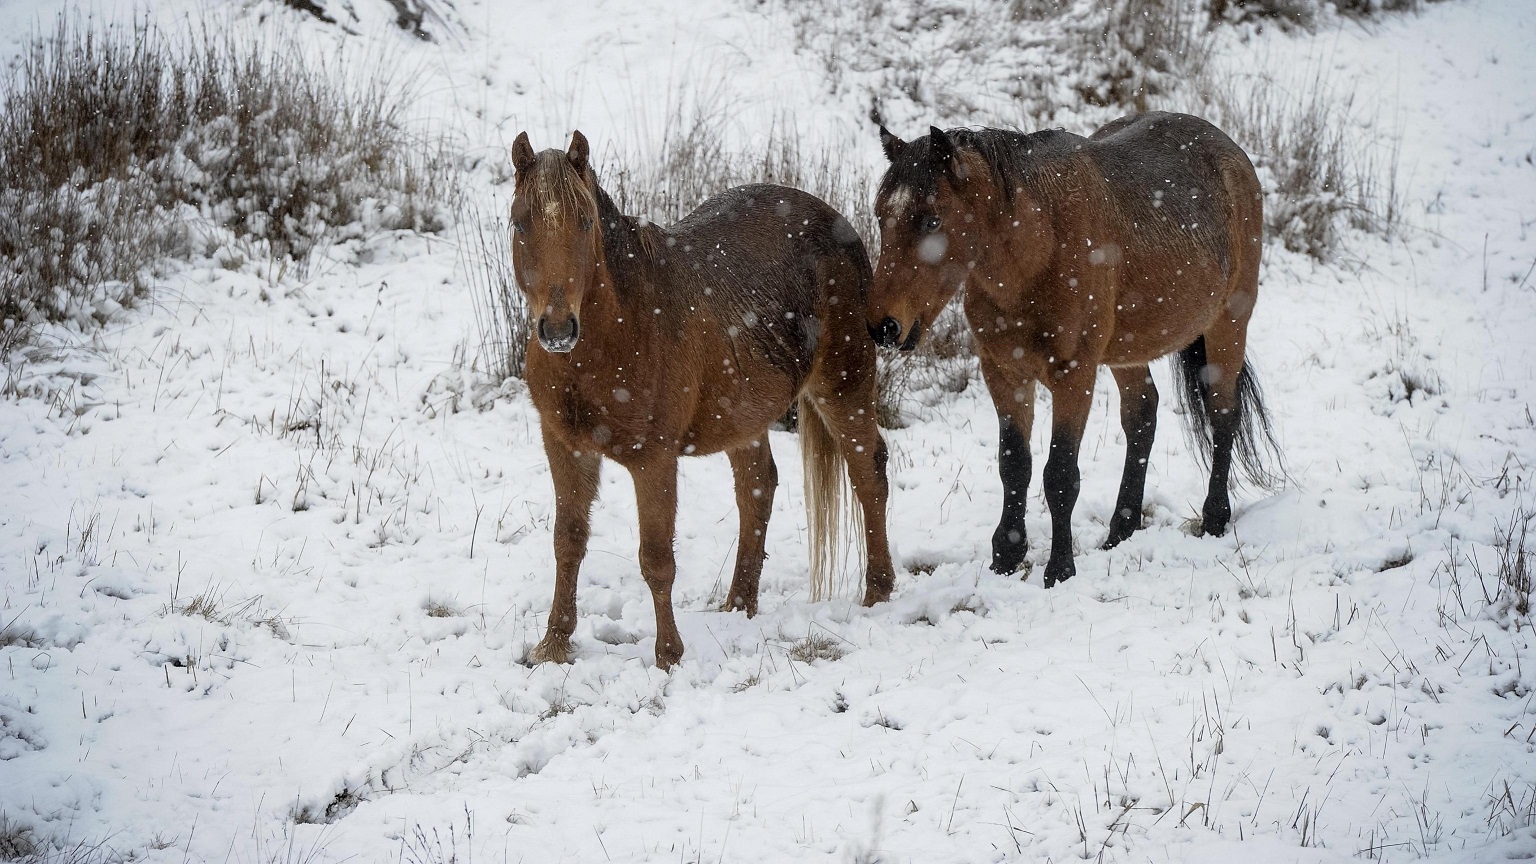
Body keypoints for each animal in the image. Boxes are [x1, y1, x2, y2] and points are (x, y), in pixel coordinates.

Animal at [509, 130, 895, 670]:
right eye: (519, 222)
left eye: (585, 222)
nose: (558, 328)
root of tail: (839, 222)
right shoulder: (565, 447)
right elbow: (567, 542)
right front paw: (553, 645)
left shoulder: (653, 460)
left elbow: (656, 559)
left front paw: (668, 656)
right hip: (745, 414)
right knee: (758, 489)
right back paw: (738, 605)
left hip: (843, 385)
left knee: (868, 474)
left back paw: (877, 592)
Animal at [867, 112, 1280, 588]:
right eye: (881, 216)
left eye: (932, 221)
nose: (883, 326)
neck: (1037, 249)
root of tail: (1231, 151)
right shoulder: (1004, 372)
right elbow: (1015, 464)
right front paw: (1006, 556)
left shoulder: (1074, 374)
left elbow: (1060, 474)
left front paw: (1060, 569)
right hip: (1128, 351)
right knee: (1142, 415)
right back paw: (1121, 529)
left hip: (1229, 324)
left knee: (1222, 413)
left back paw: (1214, 519)